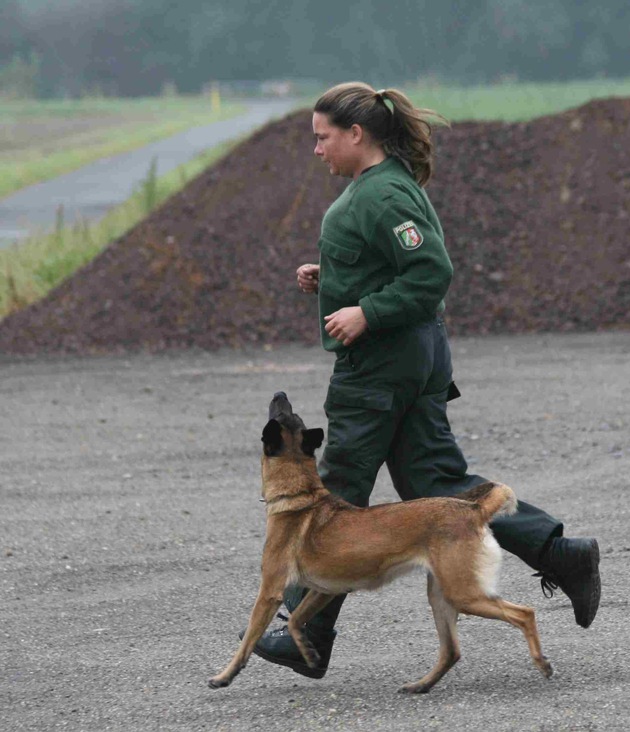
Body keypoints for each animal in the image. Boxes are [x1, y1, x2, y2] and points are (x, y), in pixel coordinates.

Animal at [209, 388, 552, 692]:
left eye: (280, 415)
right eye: (291, 414)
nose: (279, 394)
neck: (301, 496)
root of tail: (474, 509)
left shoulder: (270, 591)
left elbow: (248, 640)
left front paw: (224, 676)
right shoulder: (325, 591)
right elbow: (296, 621)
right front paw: (308, 652)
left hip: (463, 593)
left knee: (524, 613)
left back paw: (542, 662)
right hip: (441, 595)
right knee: (452, 651)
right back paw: (420, 685)